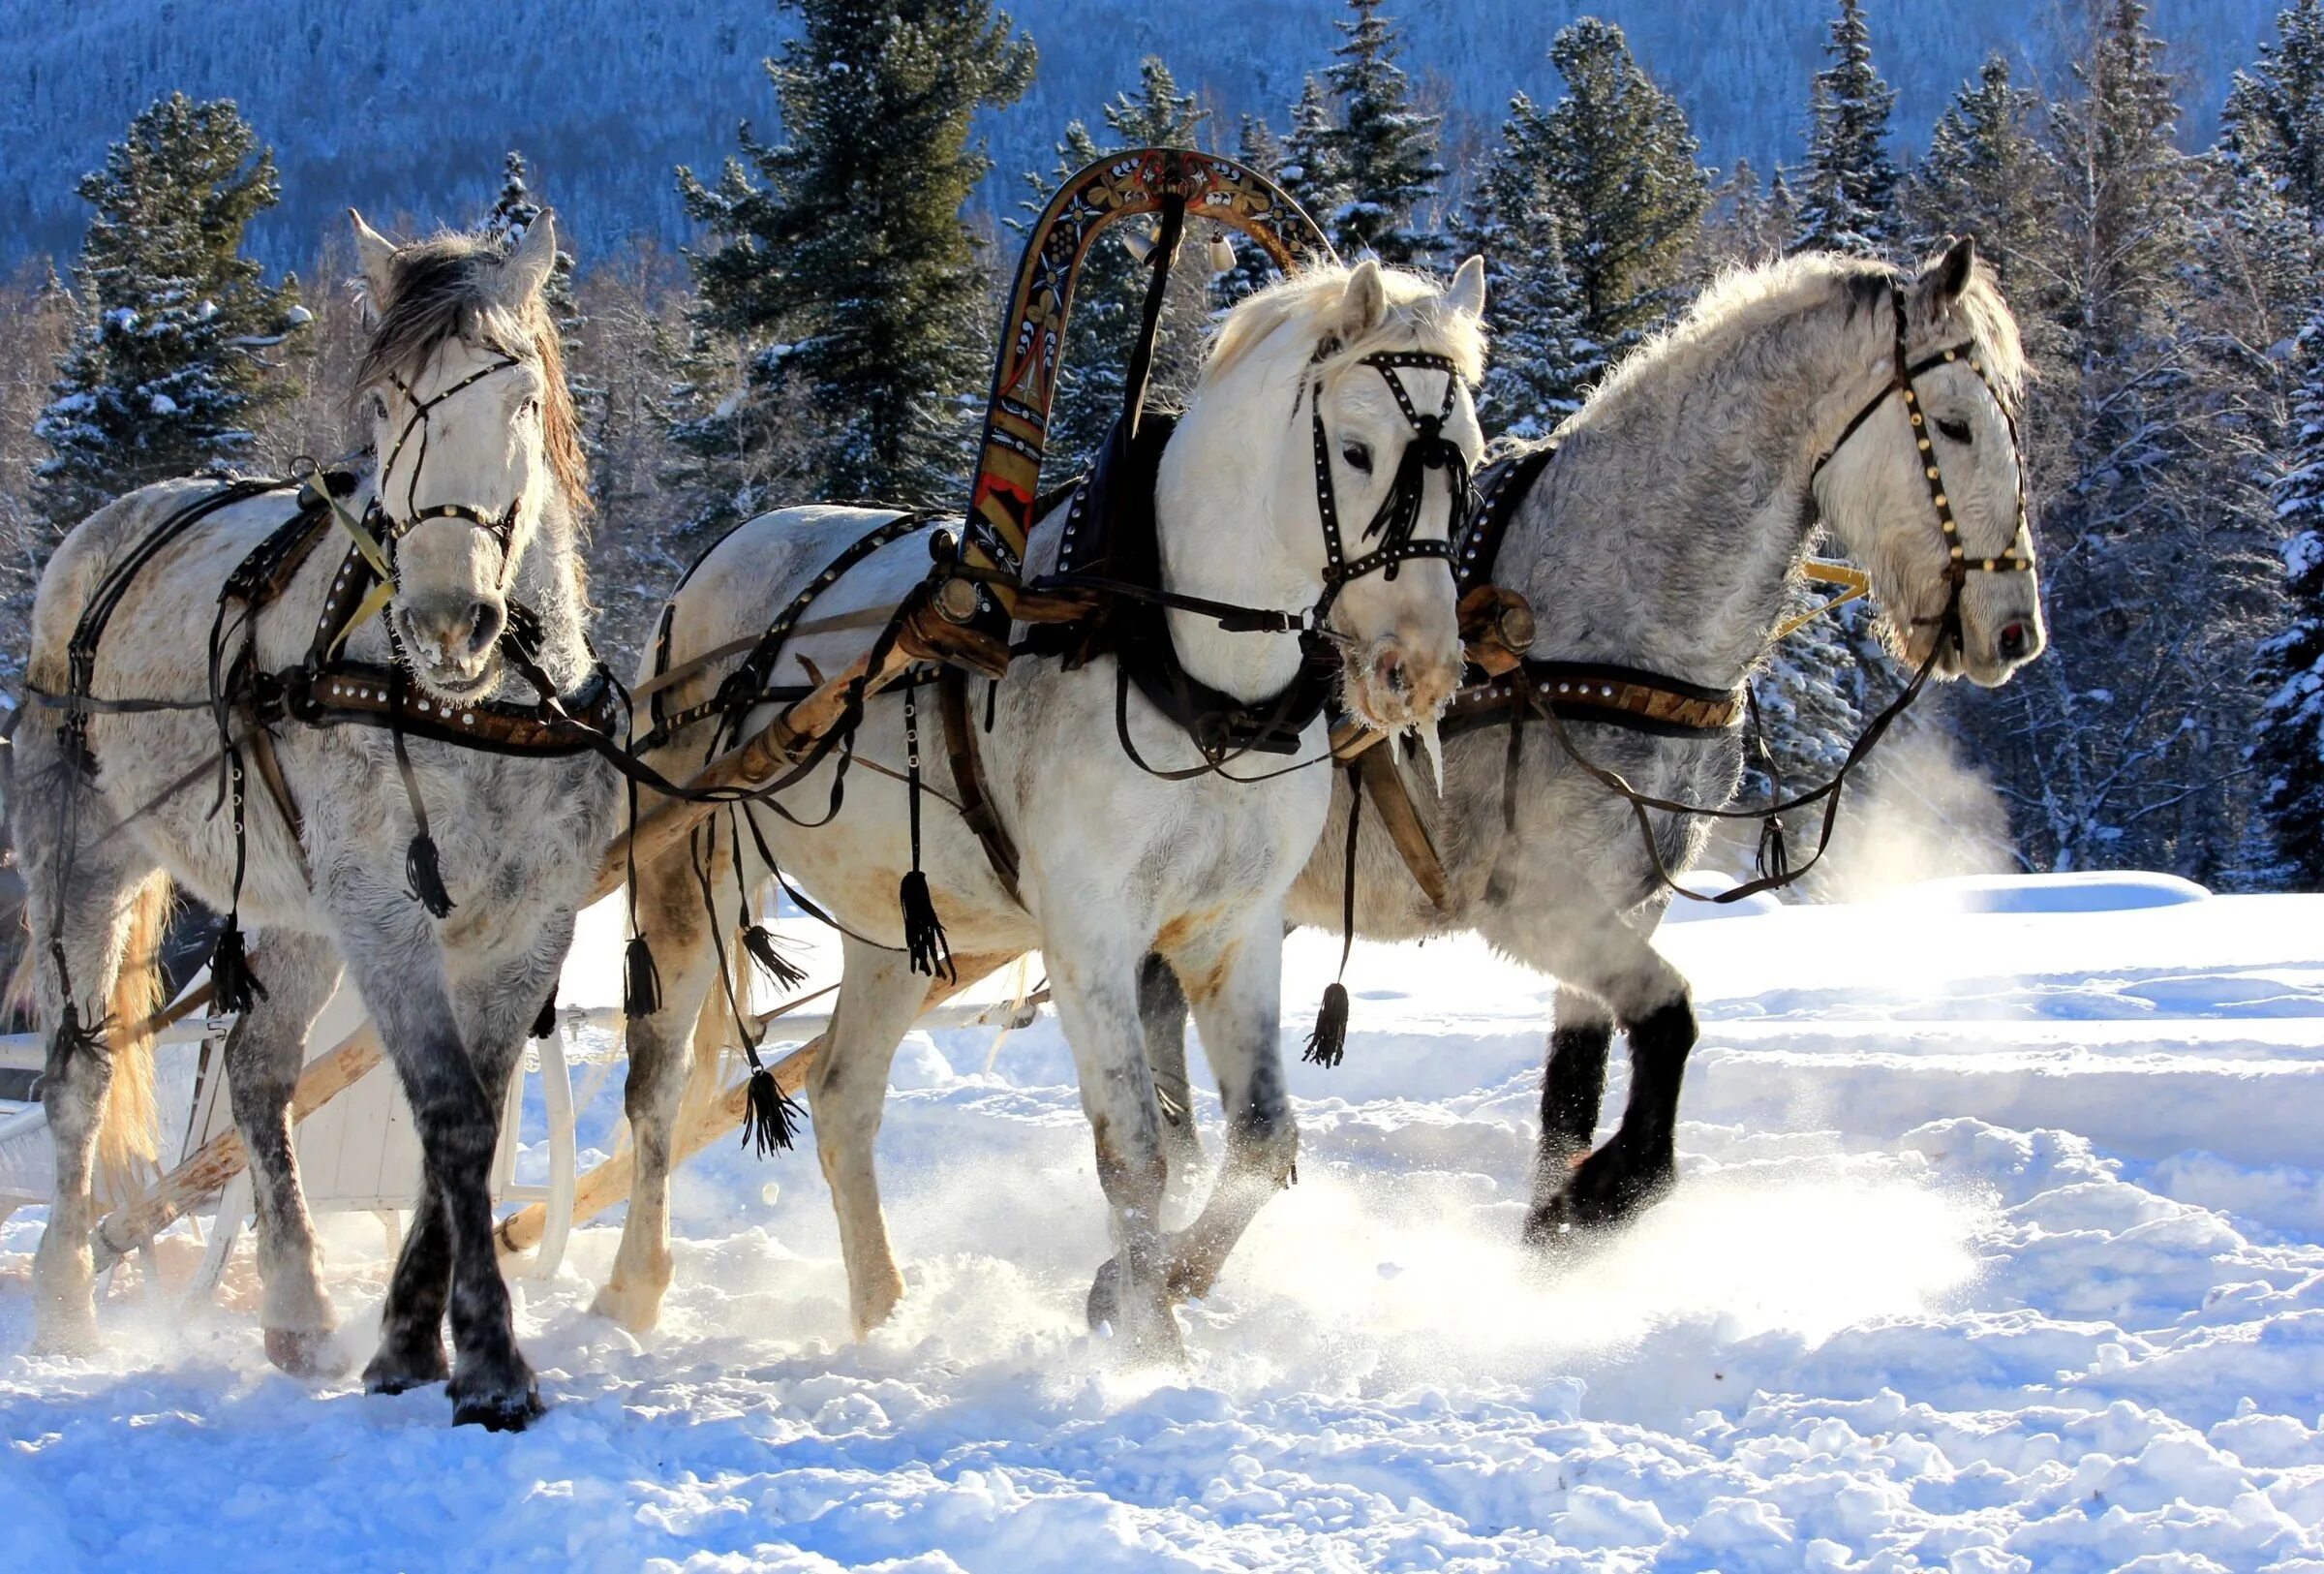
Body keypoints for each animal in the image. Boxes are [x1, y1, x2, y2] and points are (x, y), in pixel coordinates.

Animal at [1143, 239, 2054, 1236]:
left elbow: (1573, 1090)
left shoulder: (1627, 897)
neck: (1613, 613)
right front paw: (1611, 1189)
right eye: (1956, 424)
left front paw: (1552, 1225)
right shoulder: (1533, 900)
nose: (2015, 629)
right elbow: (1670, 1019)